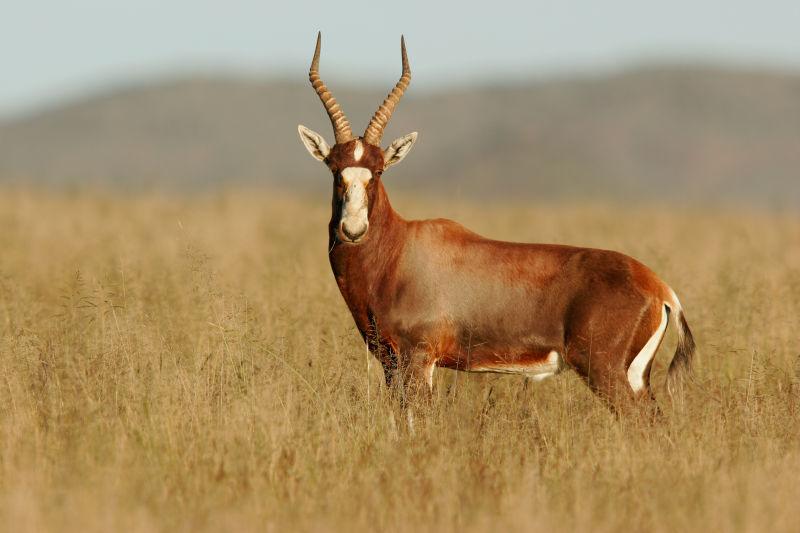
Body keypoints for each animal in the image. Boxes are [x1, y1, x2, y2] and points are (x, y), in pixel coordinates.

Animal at [296, 32, 696, 408]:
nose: (353, 230)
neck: (400, 249)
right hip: (636, 379)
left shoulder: (418, 358)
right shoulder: (391, 363)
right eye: (334, 169)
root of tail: (661, 289)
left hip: (606, 372)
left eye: (378, 171)